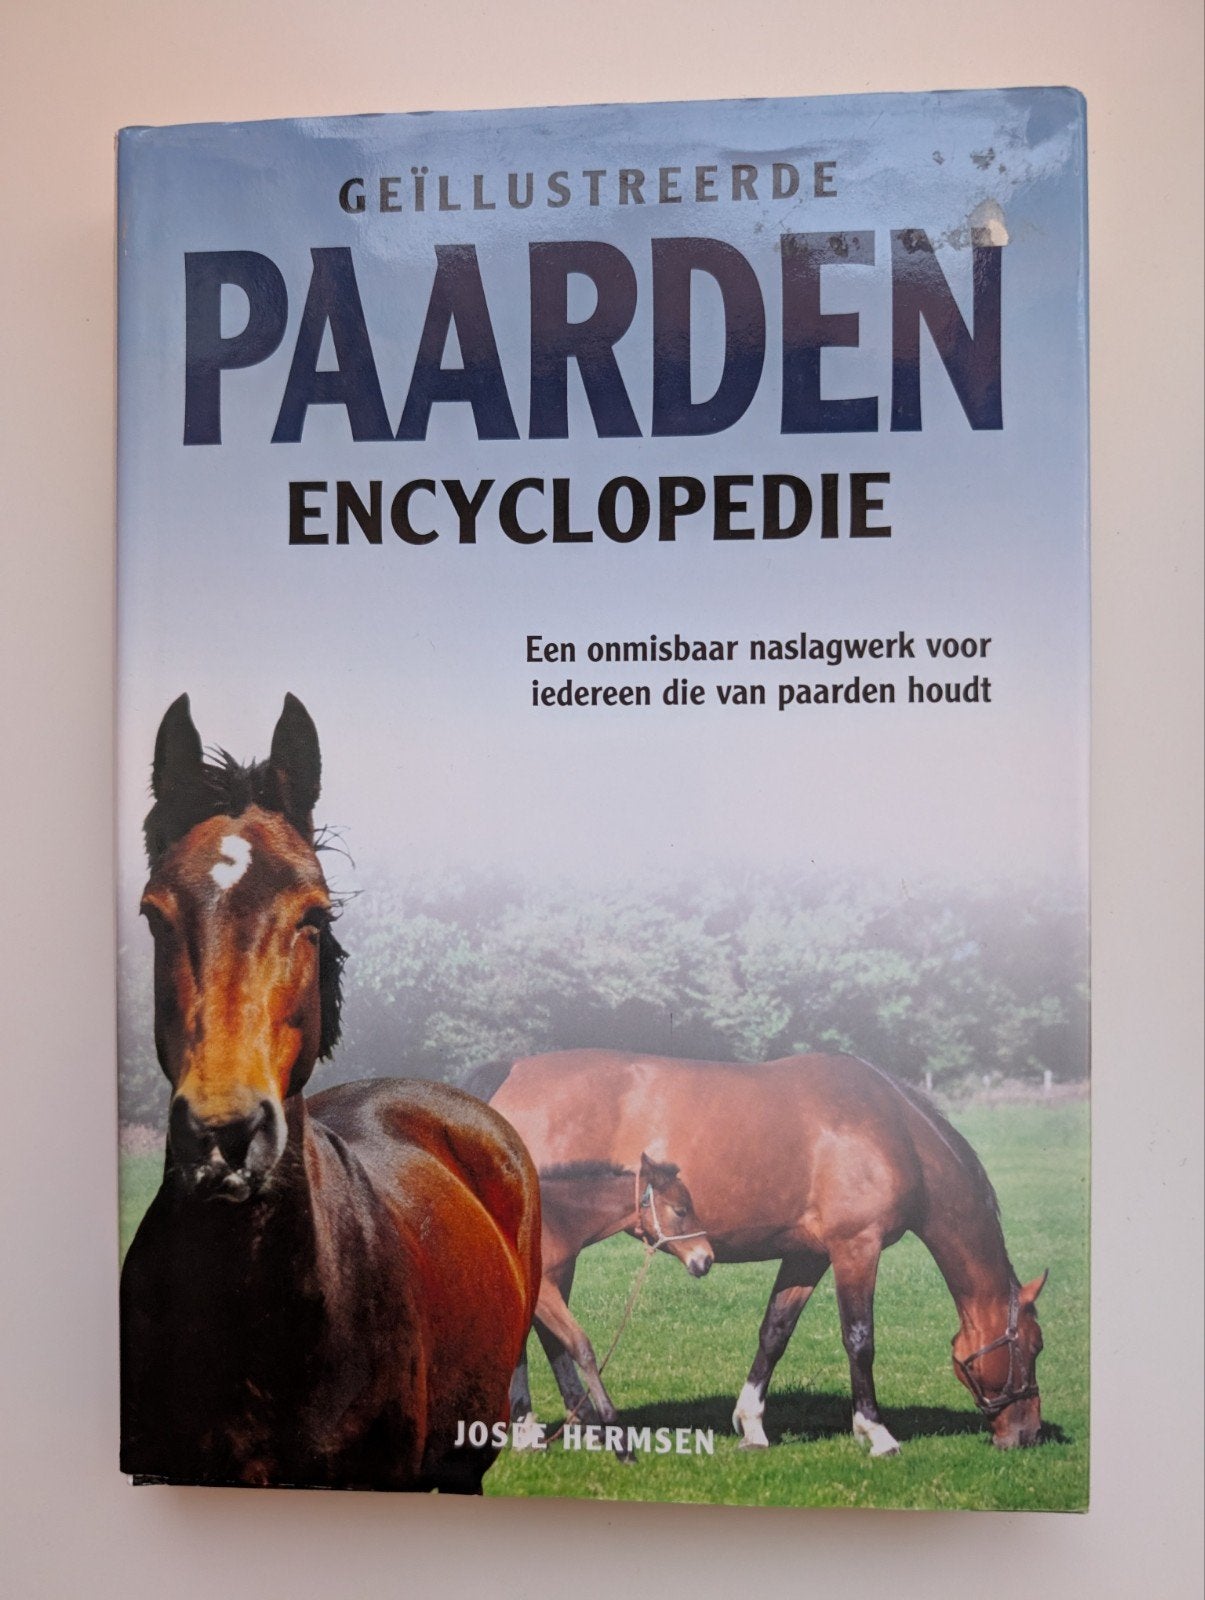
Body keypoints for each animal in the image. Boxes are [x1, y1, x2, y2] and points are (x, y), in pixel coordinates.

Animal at [507, 1152, 713, 1451]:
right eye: (680, 1210)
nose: (706, 1259)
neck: (553, 1221)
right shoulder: (545, 1291)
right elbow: (579, 1345)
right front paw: (607, 1417)